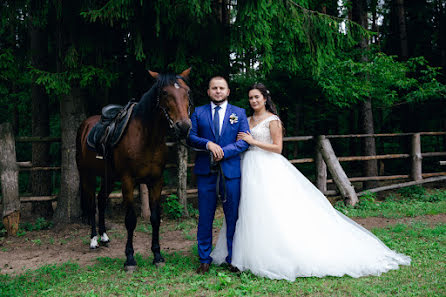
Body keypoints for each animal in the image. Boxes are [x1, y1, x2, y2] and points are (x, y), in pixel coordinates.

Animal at [75, 68, 193, 270]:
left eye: (187, 92)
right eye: (165, 93)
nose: (183, 126)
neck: (146, 137)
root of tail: (85, 125)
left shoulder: (156, 181)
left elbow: (155, 218)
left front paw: (157, 256)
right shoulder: (128, 181)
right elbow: (130, 220)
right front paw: (130, 259)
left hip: (108, 178)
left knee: (101, 201)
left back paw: (104, 237)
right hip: (87, 176)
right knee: (91, 204)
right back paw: (93, 240)